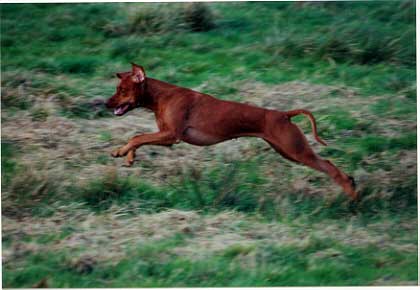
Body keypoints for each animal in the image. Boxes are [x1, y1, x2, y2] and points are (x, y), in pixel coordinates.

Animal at [106, 63, 358, 199]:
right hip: (287, 150)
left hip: (296, 150)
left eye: (122, 90)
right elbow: (139, 138)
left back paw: (351, 192)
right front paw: (129, 156)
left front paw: (121, 151)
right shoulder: (165, 136)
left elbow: (138, 136)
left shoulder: (172, 136)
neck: (162, 96)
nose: (104, 104)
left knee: (330, 166)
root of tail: (283, 114)